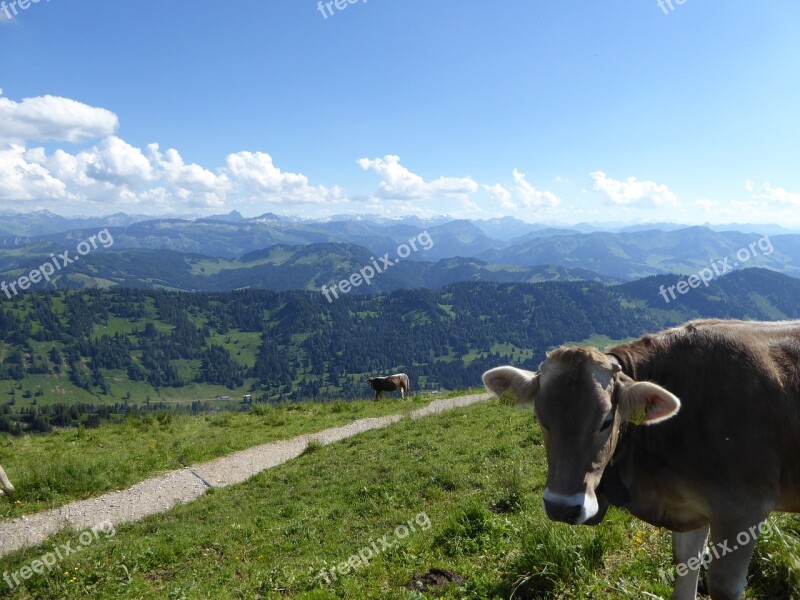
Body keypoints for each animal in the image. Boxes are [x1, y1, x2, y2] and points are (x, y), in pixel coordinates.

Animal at [484, 316, 800, 596]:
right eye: (540, 418)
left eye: (606, 421)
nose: (561, 508)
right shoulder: (693, 510)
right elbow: (685, 571)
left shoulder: (743, 511)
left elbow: (722, 585)